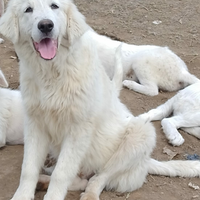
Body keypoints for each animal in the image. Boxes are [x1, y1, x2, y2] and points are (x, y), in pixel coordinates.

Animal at [1, 0, 200, 200]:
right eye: (28, 9)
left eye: (54, 6)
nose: (45, 26)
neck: (52, 72)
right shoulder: (35, 123)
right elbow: (29, 169)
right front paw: (23, 194)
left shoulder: (79, 130)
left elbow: (61, 173)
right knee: (79, 180)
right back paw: (42, 182)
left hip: (140, 133)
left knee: (99, 177)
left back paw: (89, 194)